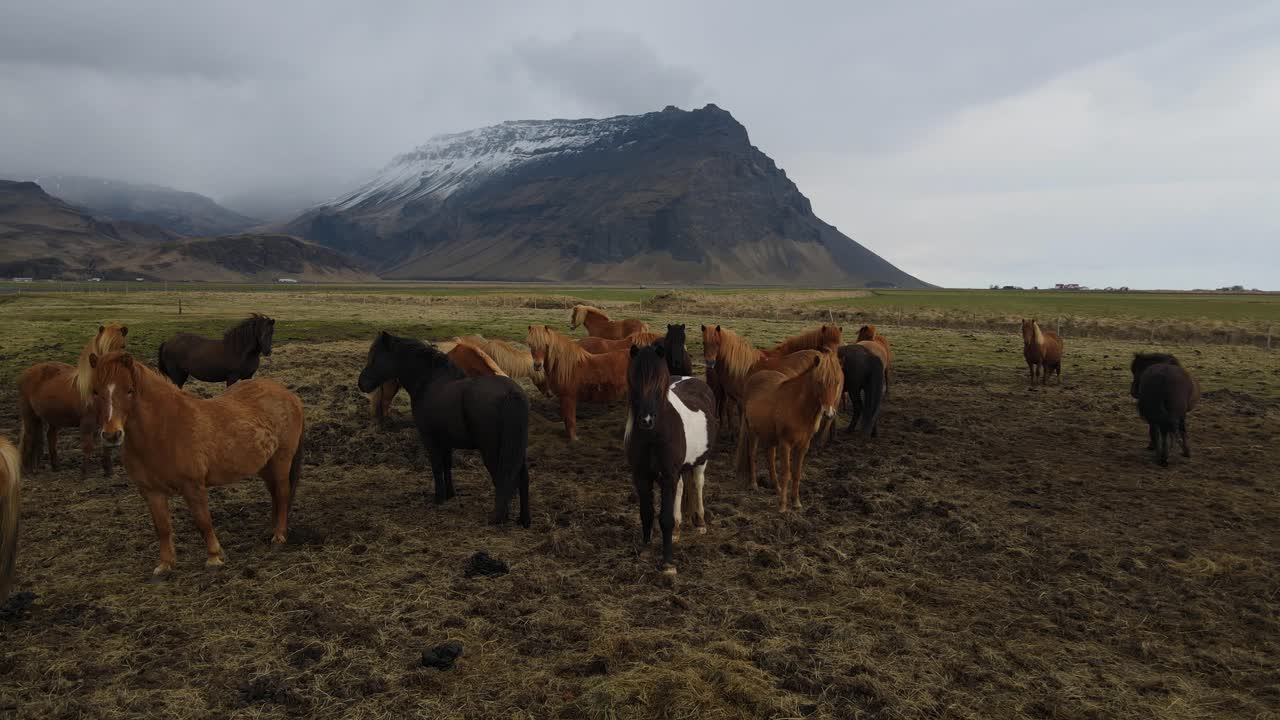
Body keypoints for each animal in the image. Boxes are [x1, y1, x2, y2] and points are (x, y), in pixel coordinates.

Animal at [17, 324, 128, 478]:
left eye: (123, 345)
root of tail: (27, 372)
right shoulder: (87, 422)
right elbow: (88, 445)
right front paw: (84, 472)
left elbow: (107, 445)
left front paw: (109, 471)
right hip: (29, 415)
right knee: (29, 437)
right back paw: (28, 471)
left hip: (54, 417)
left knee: (50, 437)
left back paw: (55, 466)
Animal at [89, 351, 304, 576]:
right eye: (95, 392)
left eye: (129, 390)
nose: (111, 435)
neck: (163, 431)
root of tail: (289, 395)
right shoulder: (151, 492)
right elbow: (162, 528)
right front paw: (165, 565)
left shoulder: (193, 486)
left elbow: (203, 521)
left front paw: (214, 558)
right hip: (265, 465)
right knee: (275, 495)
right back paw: (272, 530)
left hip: (281, 460)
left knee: (282, 493)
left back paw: (279, 537)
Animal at [357, 333, 531, 526]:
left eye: (375, 357)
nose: (361, 383)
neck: (430, 381)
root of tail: (511, 394)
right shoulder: (446, 441)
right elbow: (447, 465)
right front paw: (450, 494)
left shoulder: (430, 438)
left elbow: (437, 466)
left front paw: (439, 497)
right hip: (516, 449)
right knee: (522, 477)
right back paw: (524, 520)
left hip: (492, 450)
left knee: (503, 478)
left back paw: (499, 518)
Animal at [624, 344, 717, 575]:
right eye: (633, 381)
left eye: (659, 384)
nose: (646, 420)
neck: (654, 436)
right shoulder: (641, 476)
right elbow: (647, 513)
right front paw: (646, 550)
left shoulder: (668, 475)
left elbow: (664, 518)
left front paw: (668, 563)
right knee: (682, 487)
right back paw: (677, 529)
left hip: (700, 462)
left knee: (698, 484)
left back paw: (700, 522)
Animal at [735, 349, 843, 512]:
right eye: (819, 382)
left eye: (837, 382)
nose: (829, 414)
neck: (798, 407)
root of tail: (754, 377)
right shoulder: (785, 444)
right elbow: (786, 473)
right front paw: (782, 506)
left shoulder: (804, 445)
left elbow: (796, 473)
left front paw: (796, 502)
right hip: (752, 432)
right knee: (752, 454)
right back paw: (754, 485)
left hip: (769, 435)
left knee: (770, 457)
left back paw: (776, 487)